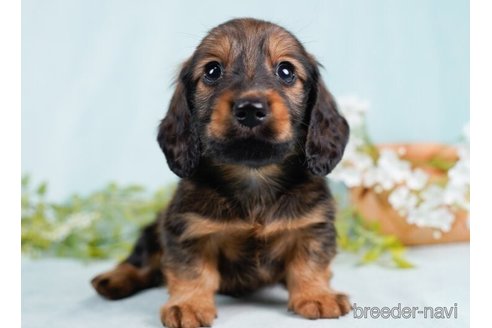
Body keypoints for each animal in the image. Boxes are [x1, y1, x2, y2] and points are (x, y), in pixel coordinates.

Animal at [91, 18, 350, 328]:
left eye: (286, 71)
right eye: (213, 71)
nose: (250, 109)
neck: (252, 175)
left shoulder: (313, 225)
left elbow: (309, 263)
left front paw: (317, 294)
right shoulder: (187, 230)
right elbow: (192, 271)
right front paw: (188, 305)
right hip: (153, 229)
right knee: (141, 259)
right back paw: (114, 278)